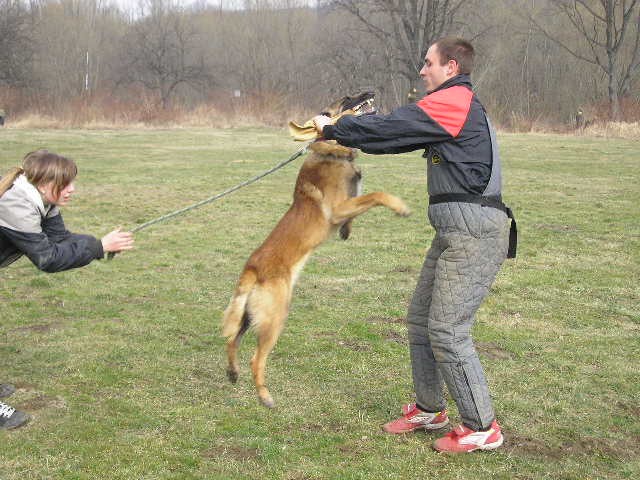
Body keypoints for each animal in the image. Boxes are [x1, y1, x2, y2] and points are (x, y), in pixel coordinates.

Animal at [221, 93, 410, 404]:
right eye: (346, 99)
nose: (367, 90)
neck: (332, 152)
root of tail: (252, 268)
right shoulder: (339, 207)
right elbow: (375, 195)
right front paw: (399, 206)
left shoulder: (349, 204)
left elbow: (361, 203)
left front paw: (347, 231)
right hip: (275, 317)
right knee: (256, 359)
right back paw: (264, 396)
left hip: (248, 316)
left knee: (231, 340)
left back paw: (233, 373)